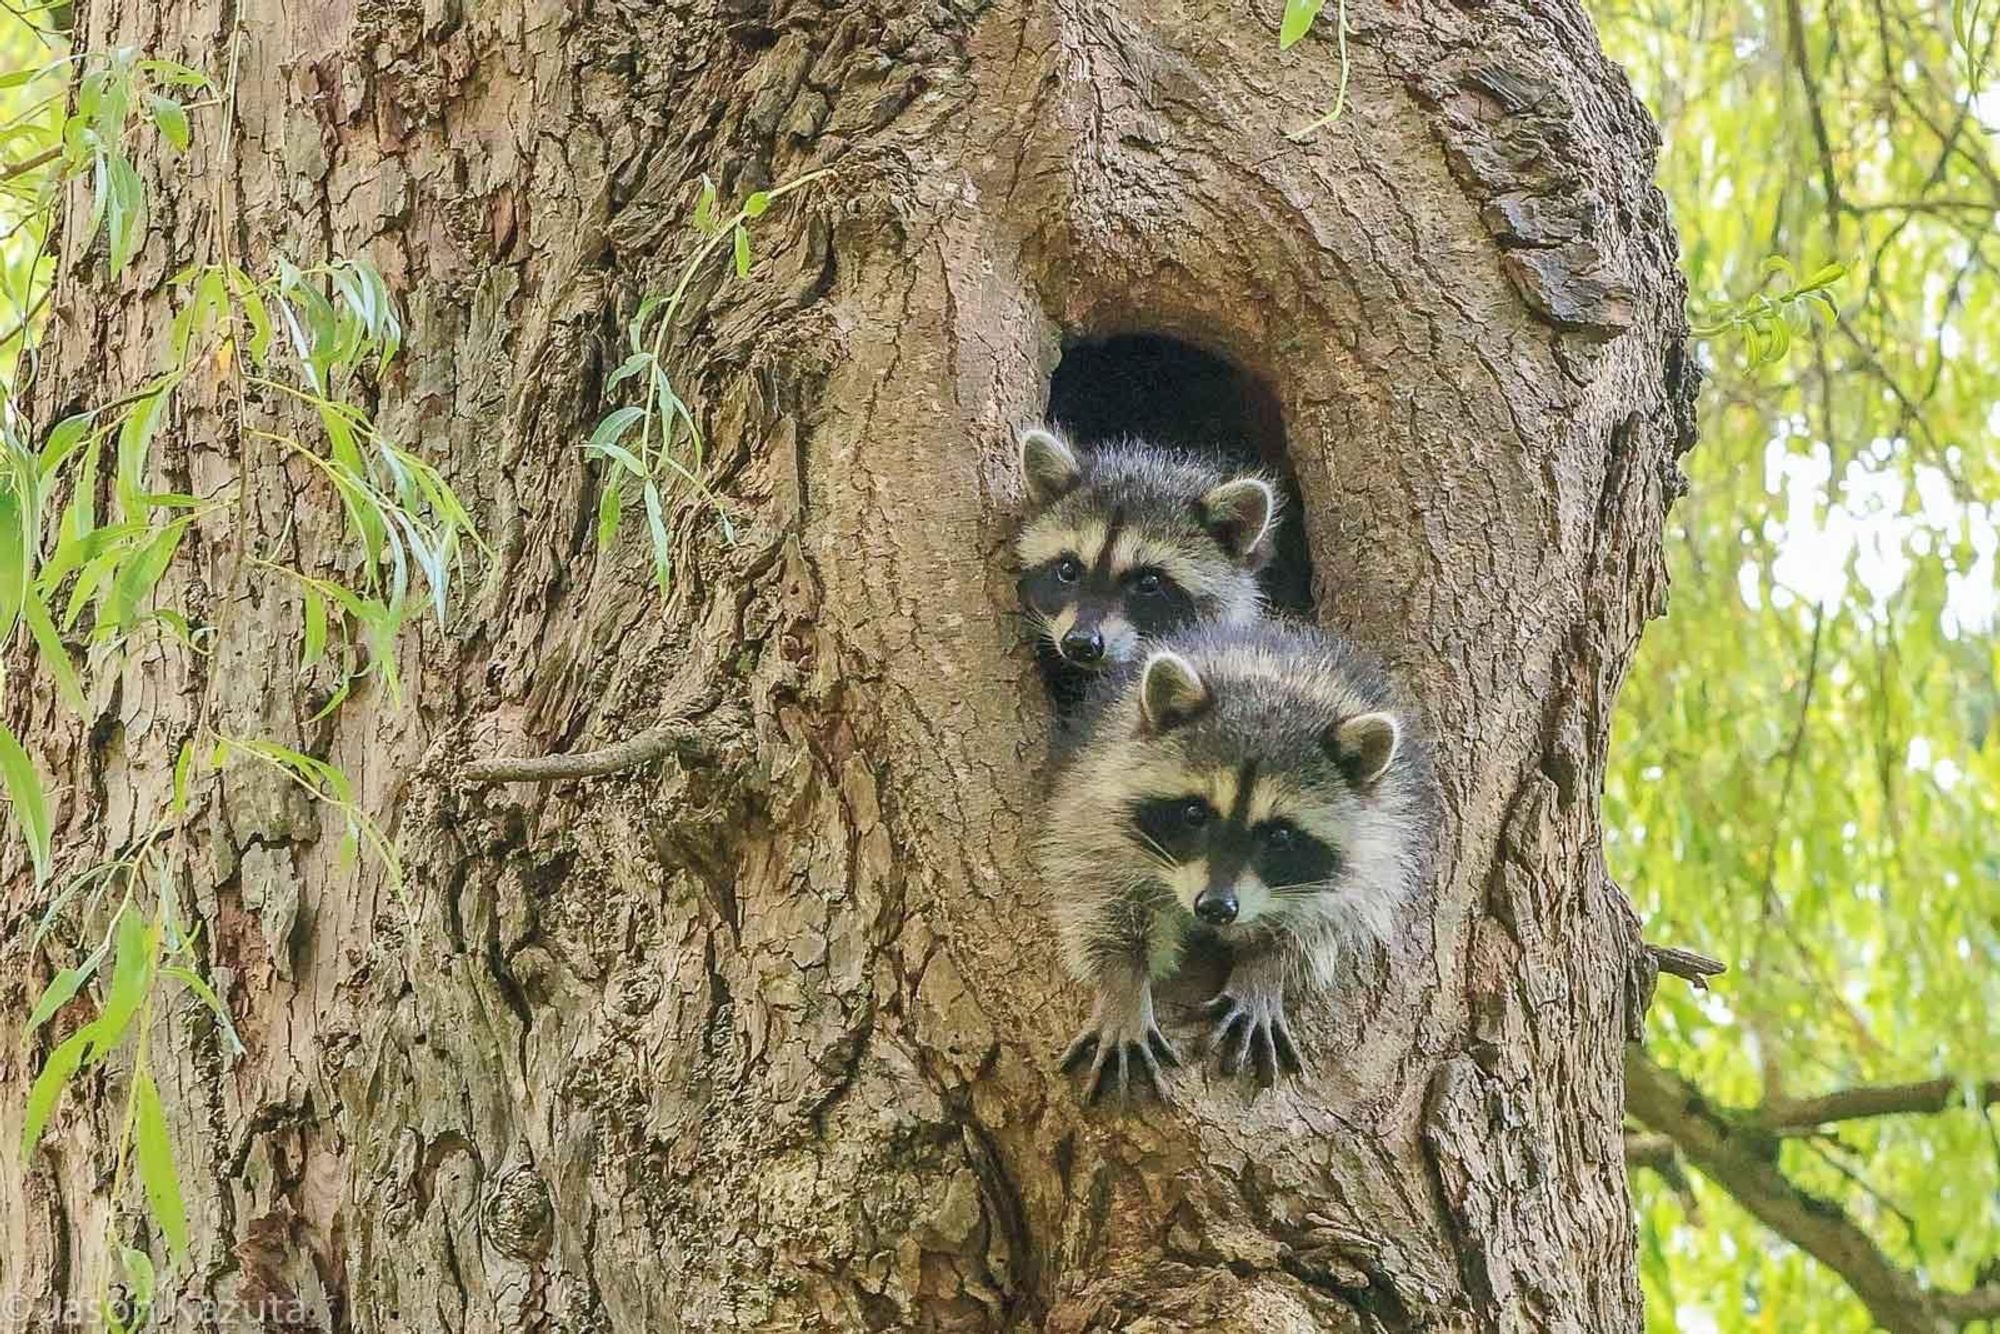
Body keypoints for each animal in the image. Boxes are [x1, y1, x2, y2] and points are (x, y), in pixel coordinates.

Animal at [1032, 620, 1440, 1104]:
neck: (1273, 678)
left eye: (1279, 836)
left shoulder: (1380, 844)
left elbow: (1322, 923)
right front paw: (1123, 982)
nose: (1216, 908)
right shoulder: (1093, 797)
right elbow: (1098, 894)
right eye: (1195, 814)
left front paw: (1264, 970)